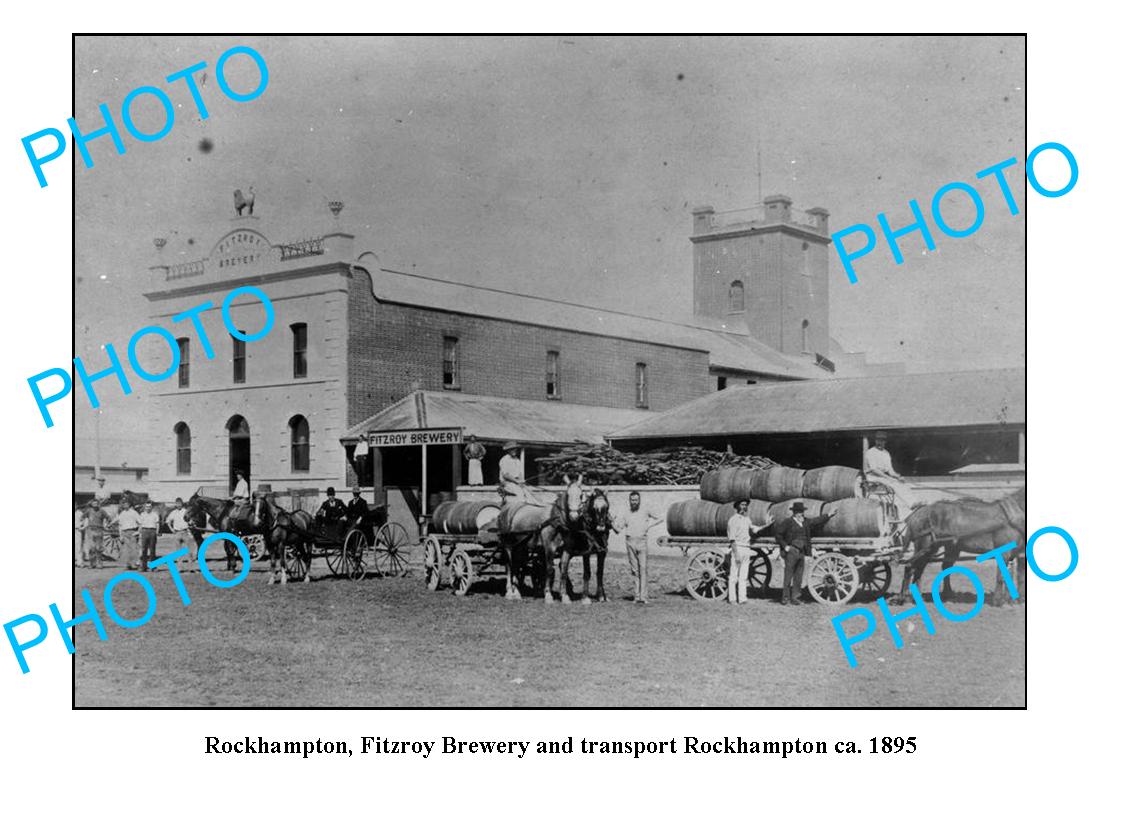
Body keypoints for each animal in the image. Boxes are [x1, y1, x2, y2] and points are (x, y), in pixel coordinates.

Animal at [893, 484, 1028, 606]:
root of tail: (918, 513)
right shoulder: (1003, 552)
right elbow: (1002, 576)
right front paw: (998, 601)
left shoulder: (1020, 554)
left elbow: (1020, 576)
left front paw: (1018, 600)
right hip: (925, 547)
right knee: (910, 567)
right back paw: (903, 598)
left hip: (939, 548)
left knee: (923, 569)